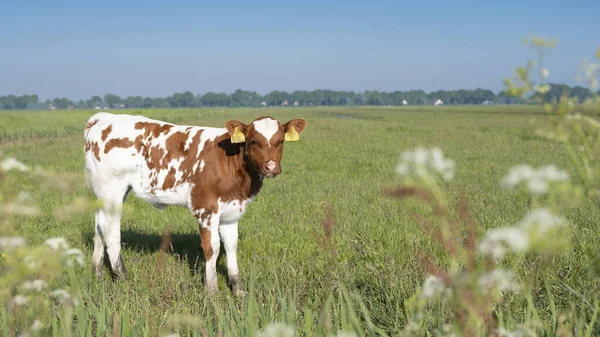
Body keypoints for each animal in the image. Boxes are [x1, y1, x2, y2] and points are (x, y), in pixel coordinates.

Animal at [83, 111, 310, 292]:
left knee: (99, 226)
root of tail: (103, 117)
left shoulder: (231, 211)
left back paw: (98, 273)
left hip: (105, 193)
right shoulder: (206, 208)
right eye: (253, 141)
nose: (270, 167)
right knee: (111, 231)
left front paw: (238, 289)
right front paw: (212, 289)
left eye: (281, 141)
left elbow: (231, 245)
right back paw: (123, 278)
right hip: (112, 189)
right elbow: (212, 247)